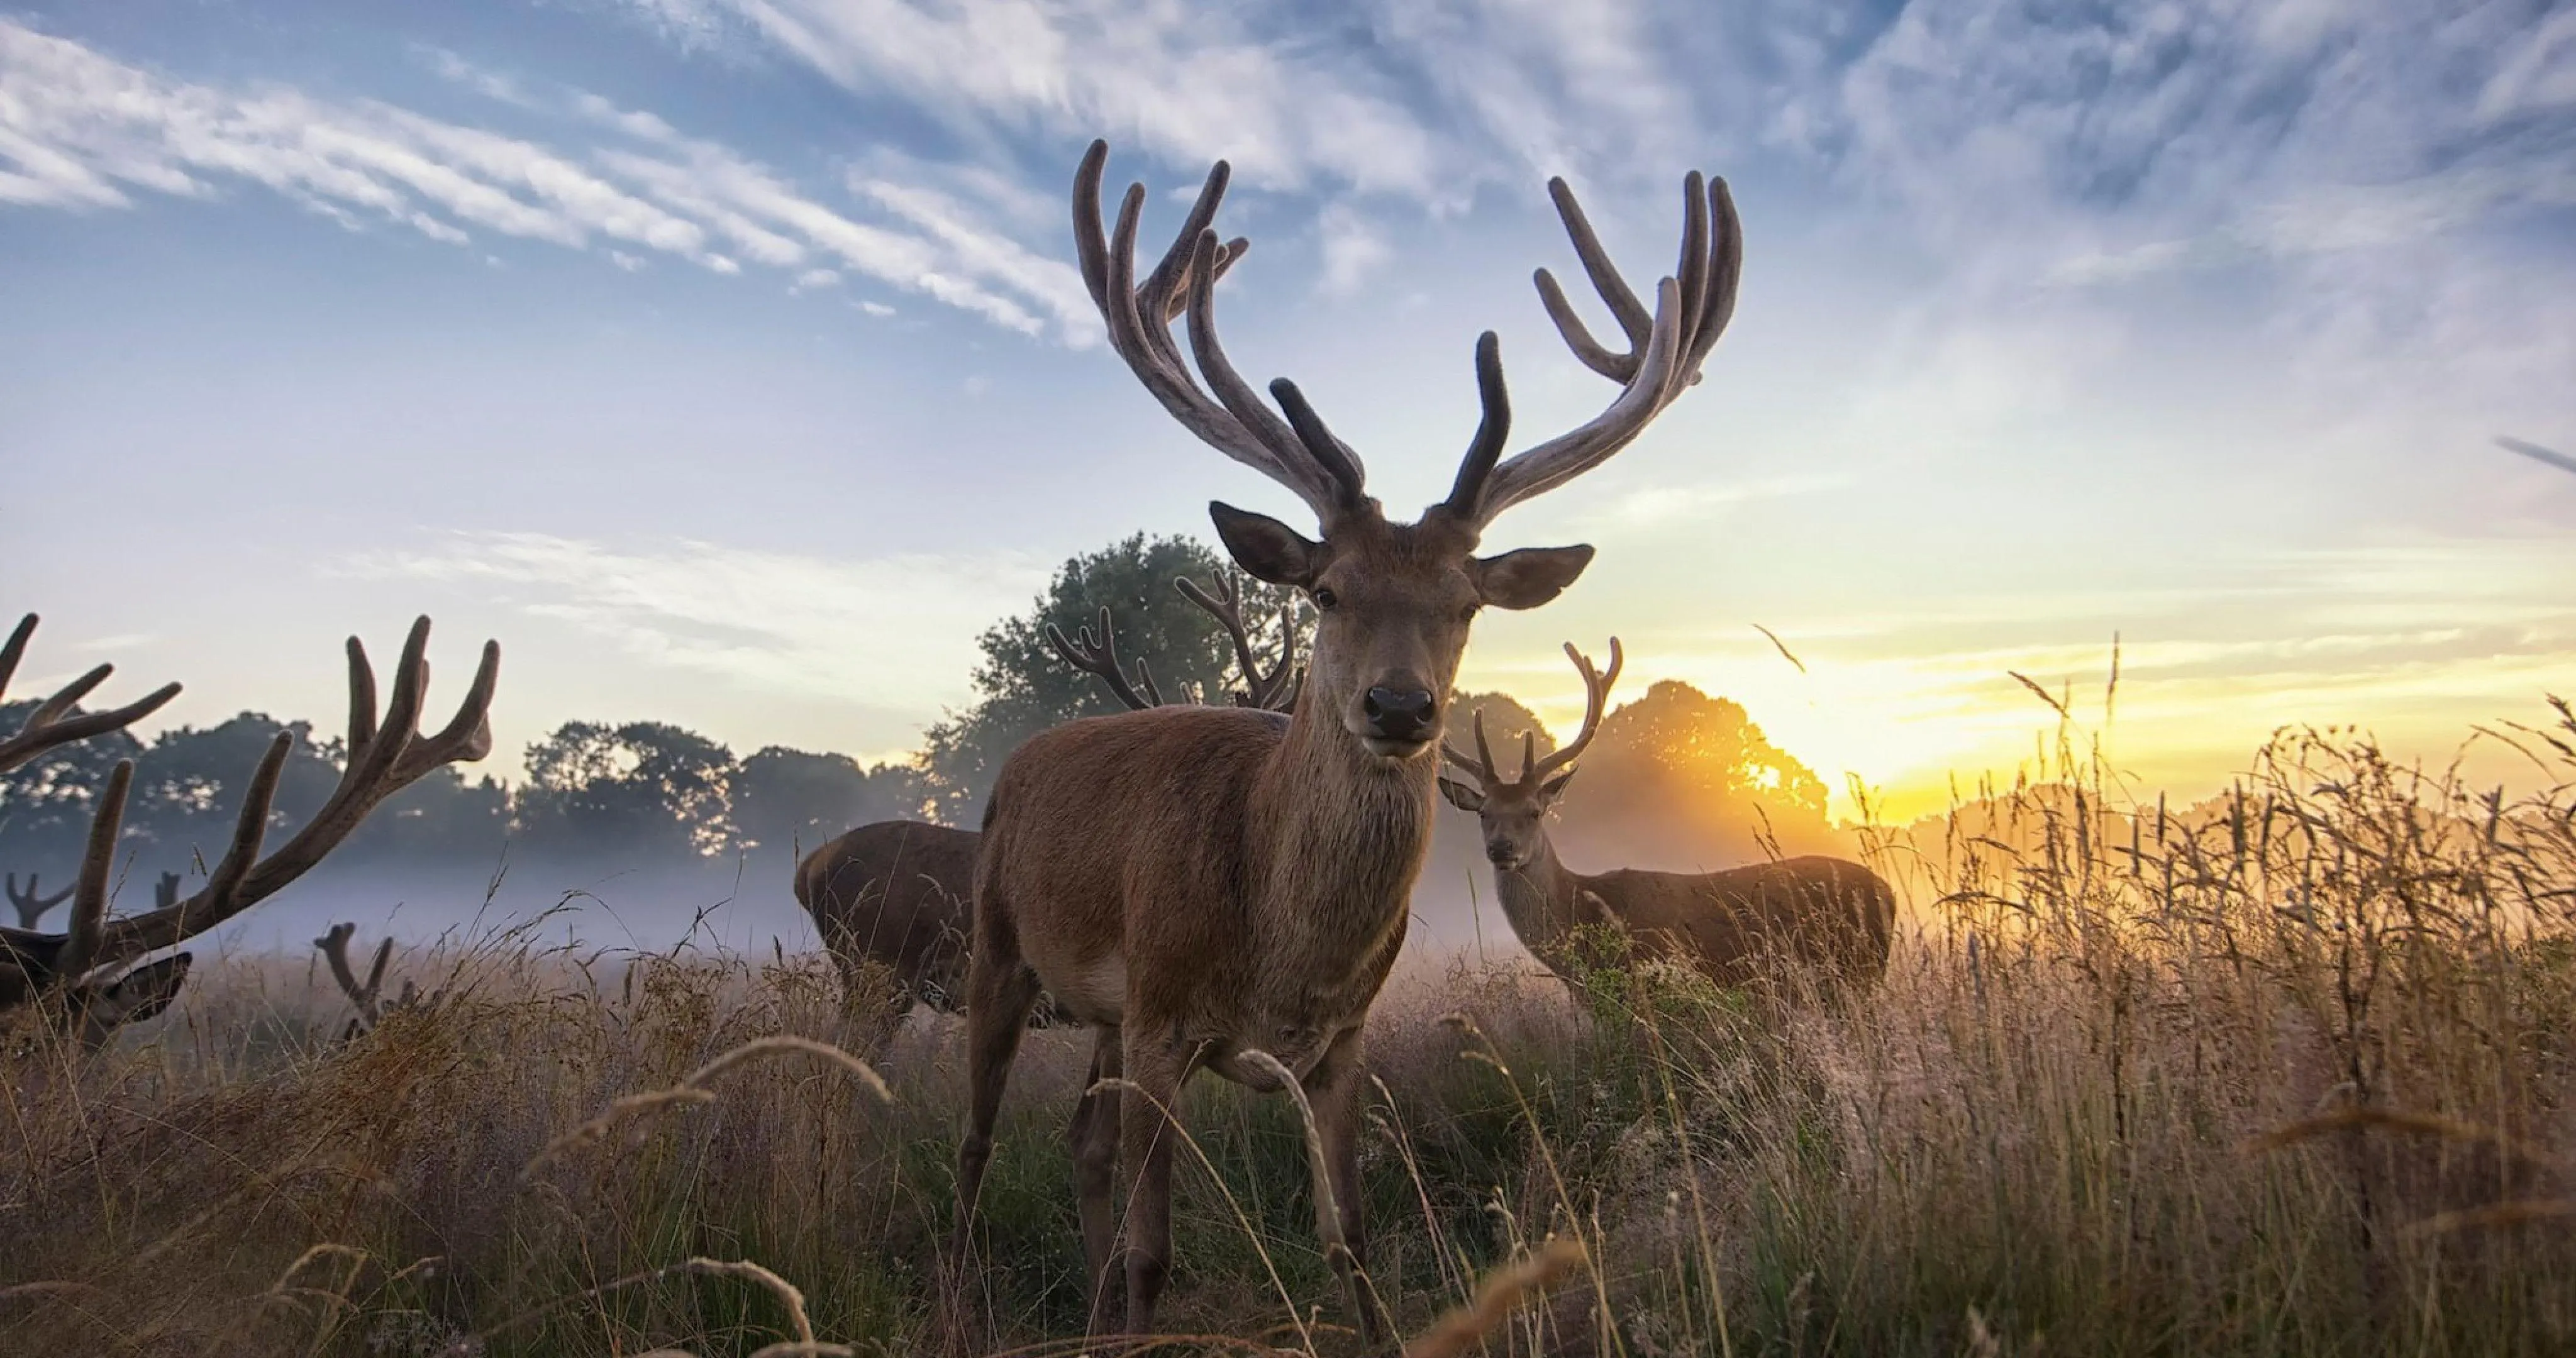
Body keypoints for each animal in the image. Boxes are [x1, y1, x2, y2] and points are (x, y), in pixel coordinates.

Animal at [950, 138, 1740, 1344]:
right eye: (1325, 591)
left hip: (1102, 1013)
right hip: (1000, 944)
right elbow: (1155, 1250)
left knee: (1080, 1141)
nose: (1402, 708)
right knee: (977, 1142)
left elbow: (1352, 1243)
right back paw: (979, 1296)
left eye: (1466, 603)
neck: (1282, 952)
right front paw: (1140, 1309)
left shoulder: (1341, 1042)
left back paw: (1088, 1319)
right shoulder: (1165, 1013)